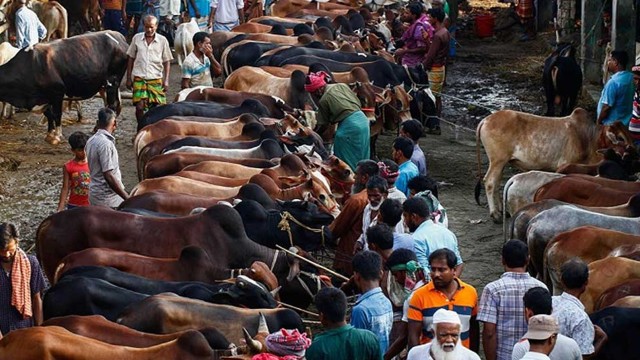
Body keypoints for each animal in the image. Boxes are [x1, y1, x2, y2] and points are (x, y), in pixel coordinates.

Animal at [472, 107, 632, 222]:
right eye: (620, 138)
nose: (632, 151)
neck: (589, 138)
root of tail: (486, 120)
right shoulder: (566, 164)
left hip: (501, 162)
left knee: (497, 181)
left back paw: (501, 210)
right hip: (497, 160)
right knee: (490, 181)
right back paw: (495, 214)